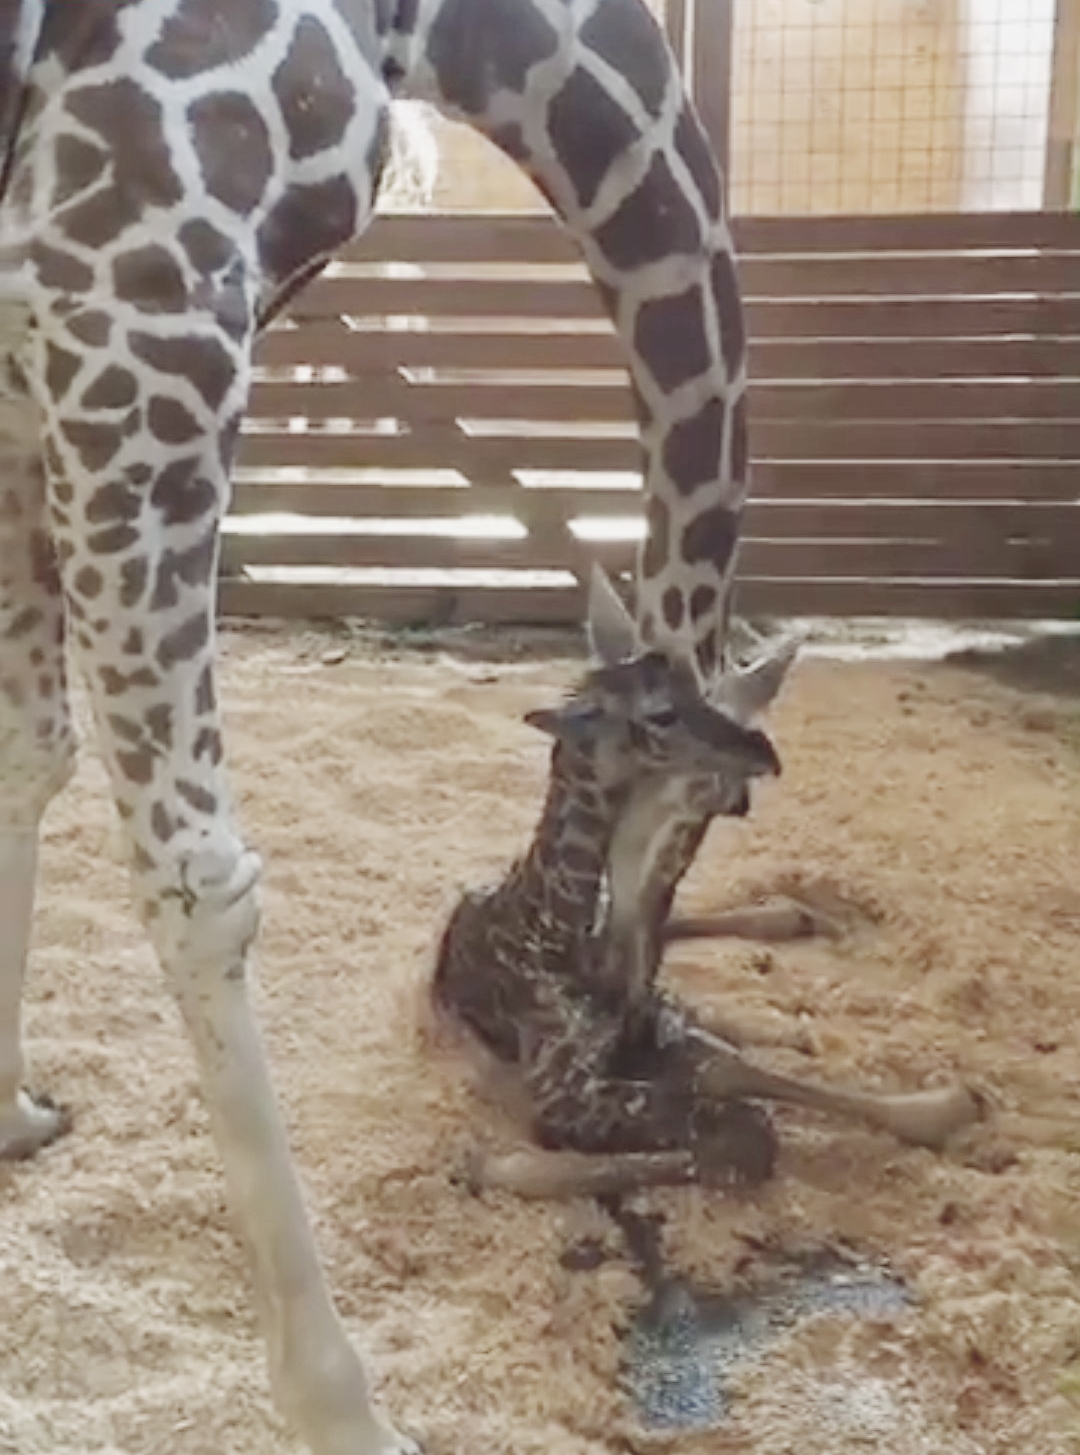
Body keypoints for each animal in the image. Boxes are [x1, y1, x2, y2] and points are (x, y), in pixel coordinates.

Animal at [0, 0, 785, 1451]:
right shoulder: (134, 301)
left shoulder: (25, 369)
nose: (627, 1004)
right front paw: (339, 1403)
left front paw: (11, 1105)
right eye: (730, 797)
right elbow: (200, 886)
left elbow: (29, 751)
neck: (458, 35)